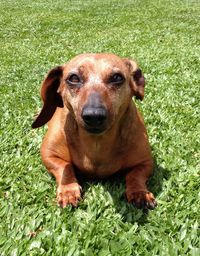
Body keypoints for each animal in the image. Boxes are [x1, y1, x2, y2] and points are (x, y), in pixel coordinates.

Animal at [31, 53, 156, 209]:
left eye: (117, 77)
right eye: (73, 78)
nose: (94, 116)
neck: (96, 142)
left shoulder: (146, 162)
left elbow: (135, 175)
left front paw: (140, 193)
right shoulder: (48, 155)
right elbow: (65, 166)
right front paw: (68, 191)